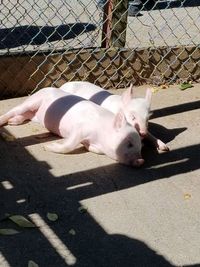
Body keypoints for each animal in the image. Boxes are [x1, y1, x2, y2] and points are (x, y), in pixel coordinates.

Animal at [0, 87, 145, 168]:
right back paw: (5, 121)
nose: (141, 160)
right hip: (32, 101)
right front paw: (46, 147)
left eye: (140, 147)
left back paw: (13, 122)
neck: (99, 137)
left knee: (25, 115)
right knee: (14, 110)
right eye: (129, 143)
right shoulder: (79, 129)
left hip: (34, 114)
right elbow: (69, 144)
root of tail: (43, 88)